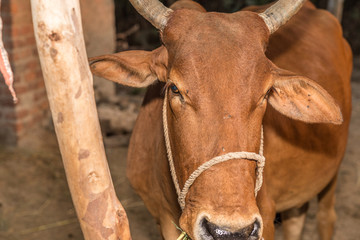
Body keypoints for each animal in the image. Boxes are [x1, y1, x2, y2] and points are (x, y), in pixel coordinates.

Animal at [89, 0, 352, 240]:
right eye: (174, 88)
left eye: (265, 94)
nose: (230, 231)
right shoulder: (161, 218)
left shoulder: (266, 216)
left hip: (331, 176)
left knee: (326, 218)